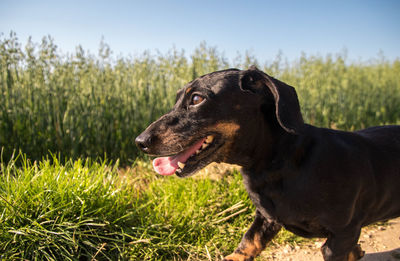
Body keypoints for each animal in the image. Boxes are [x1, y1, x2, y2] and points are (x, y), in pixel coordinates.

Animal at [135, 66, 400, 260]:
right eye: (177, 99)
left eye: (197, 98)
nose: (140, 141)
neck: (280, 164)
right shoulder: (266, 217)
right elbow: (248, 242)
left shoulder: (342, 234)